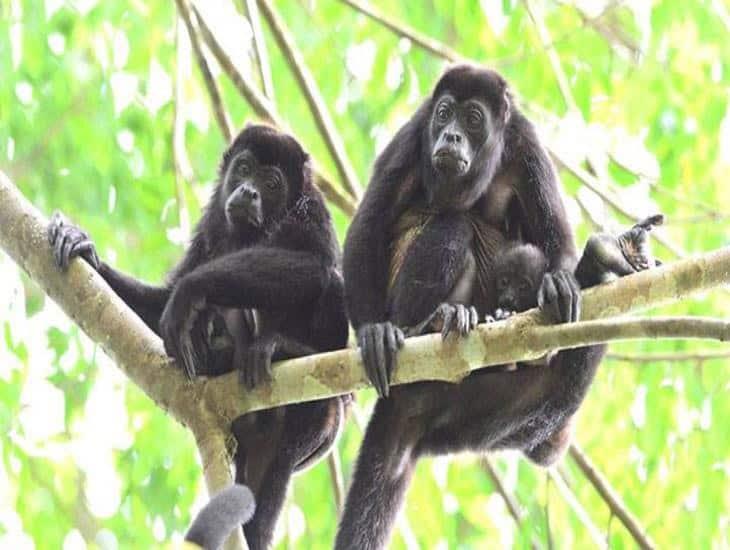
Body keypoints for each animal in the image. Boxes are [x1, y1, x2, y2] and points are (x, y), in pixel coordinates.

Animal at [49, 124, 350, 550]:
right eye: (244, 168)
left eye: (272, 183)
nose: (249, 192)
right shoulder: (210, 224)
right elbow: (160, 305)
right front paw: (85, 249)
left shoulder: (313, 209)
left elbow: (316, 264)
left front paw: (193, 289)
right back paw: (217, 348)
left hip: (325, 422)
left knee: (331, 283)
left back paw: (280, 349)